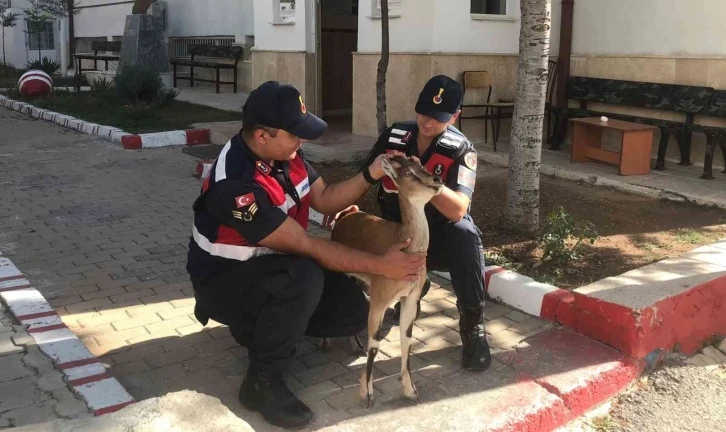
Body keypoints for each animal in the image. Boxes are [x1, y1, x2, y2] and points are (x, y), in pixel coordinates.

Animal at [330, 155, 444, 404]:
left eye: (423, 166)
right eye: (408, 173)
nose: (437, 180)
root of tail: (344, 216)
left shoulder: (410, 297)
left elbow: (406, 338)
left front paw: (411, 390)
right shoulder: (380, 297)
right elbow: (375, 343)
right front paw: (367, 394)